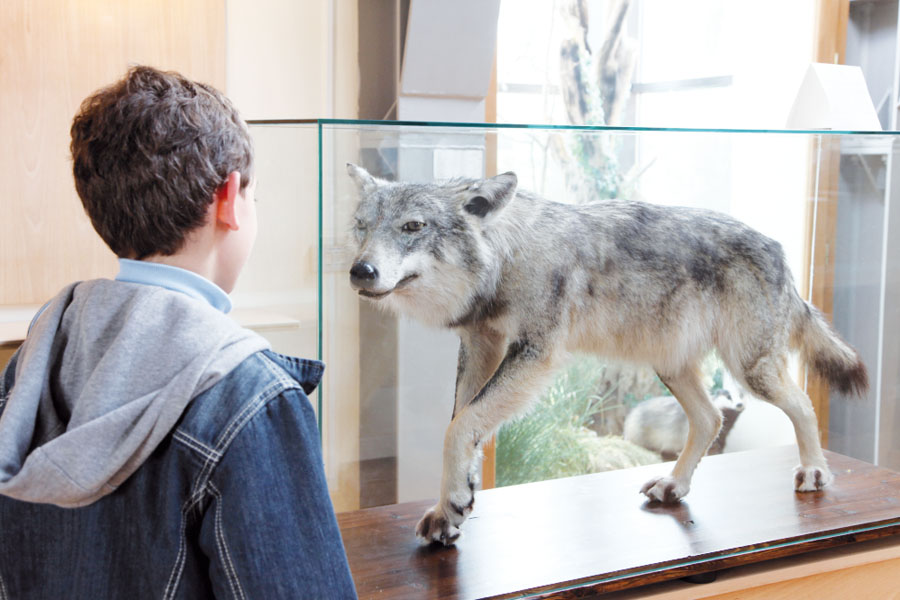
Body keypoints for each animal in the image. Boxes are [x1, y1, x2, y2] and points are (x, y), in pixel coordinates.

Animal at [344, 162, 864, 548]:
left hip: (751, 370)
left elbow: (458, 428)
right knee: (710, 419)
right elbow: (462, 424)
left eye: (413, 227)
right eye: (362, 228)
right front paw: (452, 505)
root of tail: (779, 249)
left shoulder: (535, 354)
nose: (359, 271)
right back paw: (675, 486)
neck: (506, 256)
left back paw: (815, 471)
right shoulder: (480, 345)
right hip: (672, 368)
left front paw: (453, 502)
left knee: (803, 405)